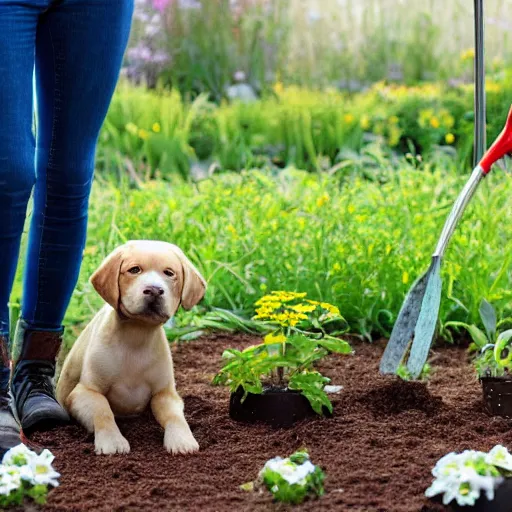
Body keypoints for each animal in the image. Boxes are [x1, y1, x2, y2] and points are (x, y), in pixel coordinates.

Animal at [56, 241, 206, 456]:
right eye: (134, 270)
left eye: (169, 273)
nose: (154, 290)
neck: (136, 335)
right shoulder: (83, 392)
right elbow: (103, 410)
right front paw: (112, 440)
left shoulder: (166, 393)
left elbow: (174, 415)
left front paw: (181, 439)